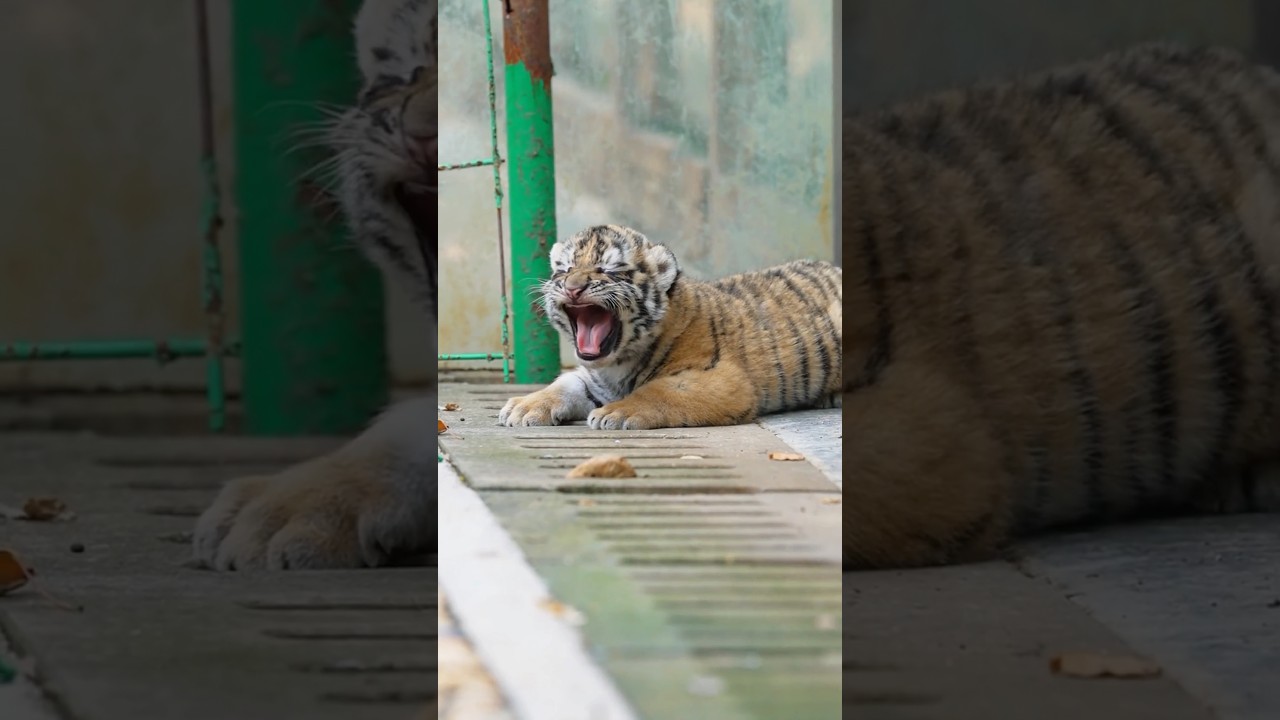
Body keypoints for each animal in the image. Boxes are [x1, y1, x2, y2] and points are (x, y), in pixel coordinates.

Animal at [499, 225, 842, 430]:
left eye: (608, 270)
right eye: (565, 269)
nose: (572, 288)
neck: (617, 363)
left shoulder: (720, 379)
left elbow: (657, 391)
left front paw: (616, 413)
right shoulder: (593, 379)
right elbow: (564, 384)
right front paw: (524, 406)